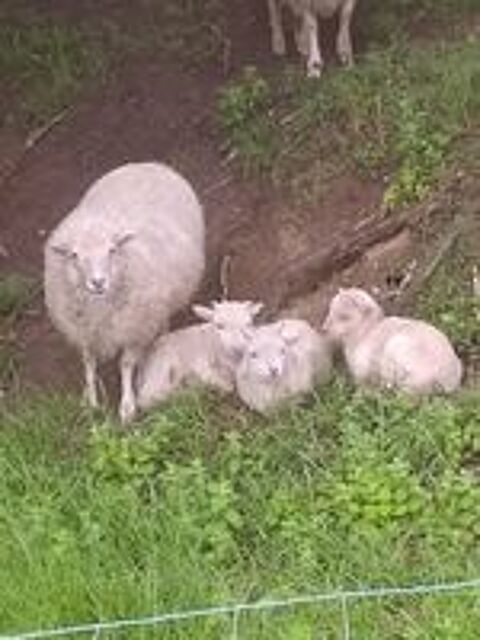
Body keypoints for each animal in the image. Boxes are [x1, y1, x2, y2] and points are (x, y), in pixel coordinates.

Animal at [44, 162, 205, 423]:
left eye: (112, 250)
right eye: (74, 255)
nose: (98, 282)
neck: (99, 307)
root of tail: (149, 164)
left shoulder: (134, 328)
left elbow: (126, 364)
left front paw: (127, 405)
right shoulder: (84, 330)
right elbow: (88, 363)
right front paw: (90, 400)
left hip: (157, 305)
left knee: (162, 325)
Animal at [322, 288, 463, 395]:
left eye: (344, 317)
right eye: (329, 309)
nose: (324, 329)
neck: (366, 332)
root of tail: (448, 380)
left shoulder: (365, 369)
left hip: (398, 351)